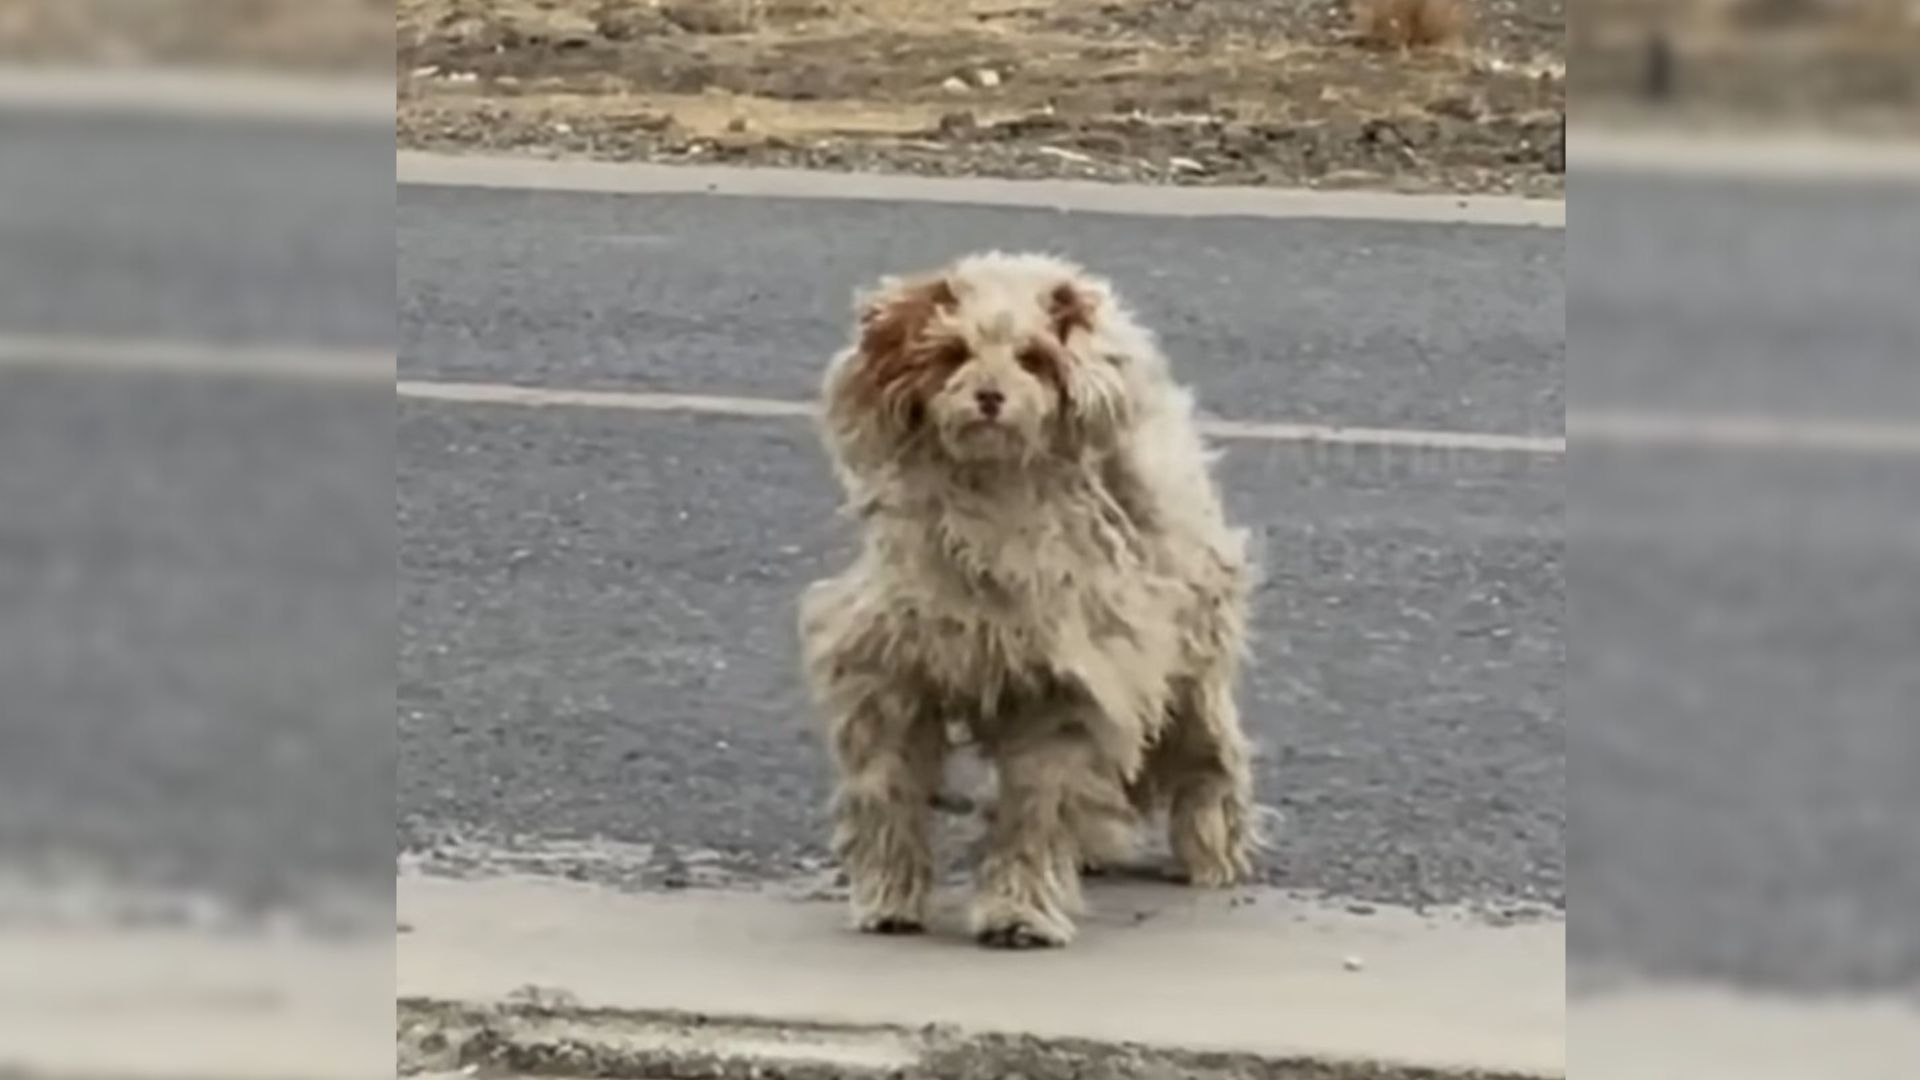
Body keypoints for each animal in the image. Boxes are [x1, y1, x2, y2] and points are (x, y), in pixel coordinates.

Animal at [798, 249, 1259, 941]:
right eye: (953, 353)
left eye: (1034, 358)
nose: (990, 396)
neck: (995, 503)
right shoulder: (890, 669)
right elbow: (888, 787)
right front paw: (888, 896)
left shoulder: (1068, 685)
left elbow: (1036, 808)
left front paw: (1021, 910)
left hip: (1192, 657)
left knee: (1209, 754)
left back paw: (1211, 848)